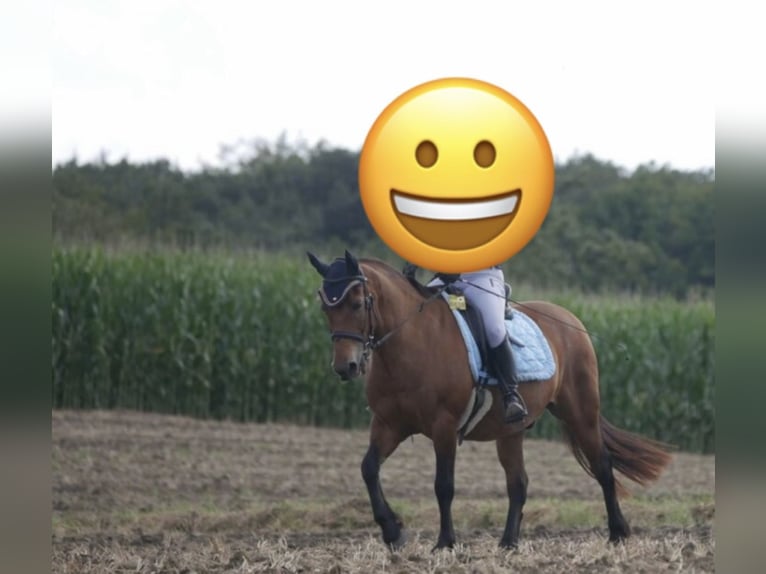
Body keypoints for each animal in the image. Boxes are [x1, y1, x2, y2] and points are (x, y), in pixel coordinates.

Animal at [307, 250, 672, 550]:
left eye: (356, 303)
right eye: (326, 307)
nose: (346, 366)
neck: (411, 341)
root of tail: (571, 321)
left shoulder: (444, 427)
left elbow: (443, 485)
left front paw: (445, 543)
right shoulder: (388, 424)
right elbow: (368, 468)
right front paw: (393, 532)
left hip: (580, 413)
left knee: (603, 467)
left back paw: (617, 534)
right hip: (511, 432)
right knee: (518, 483)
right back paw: (508, 543)